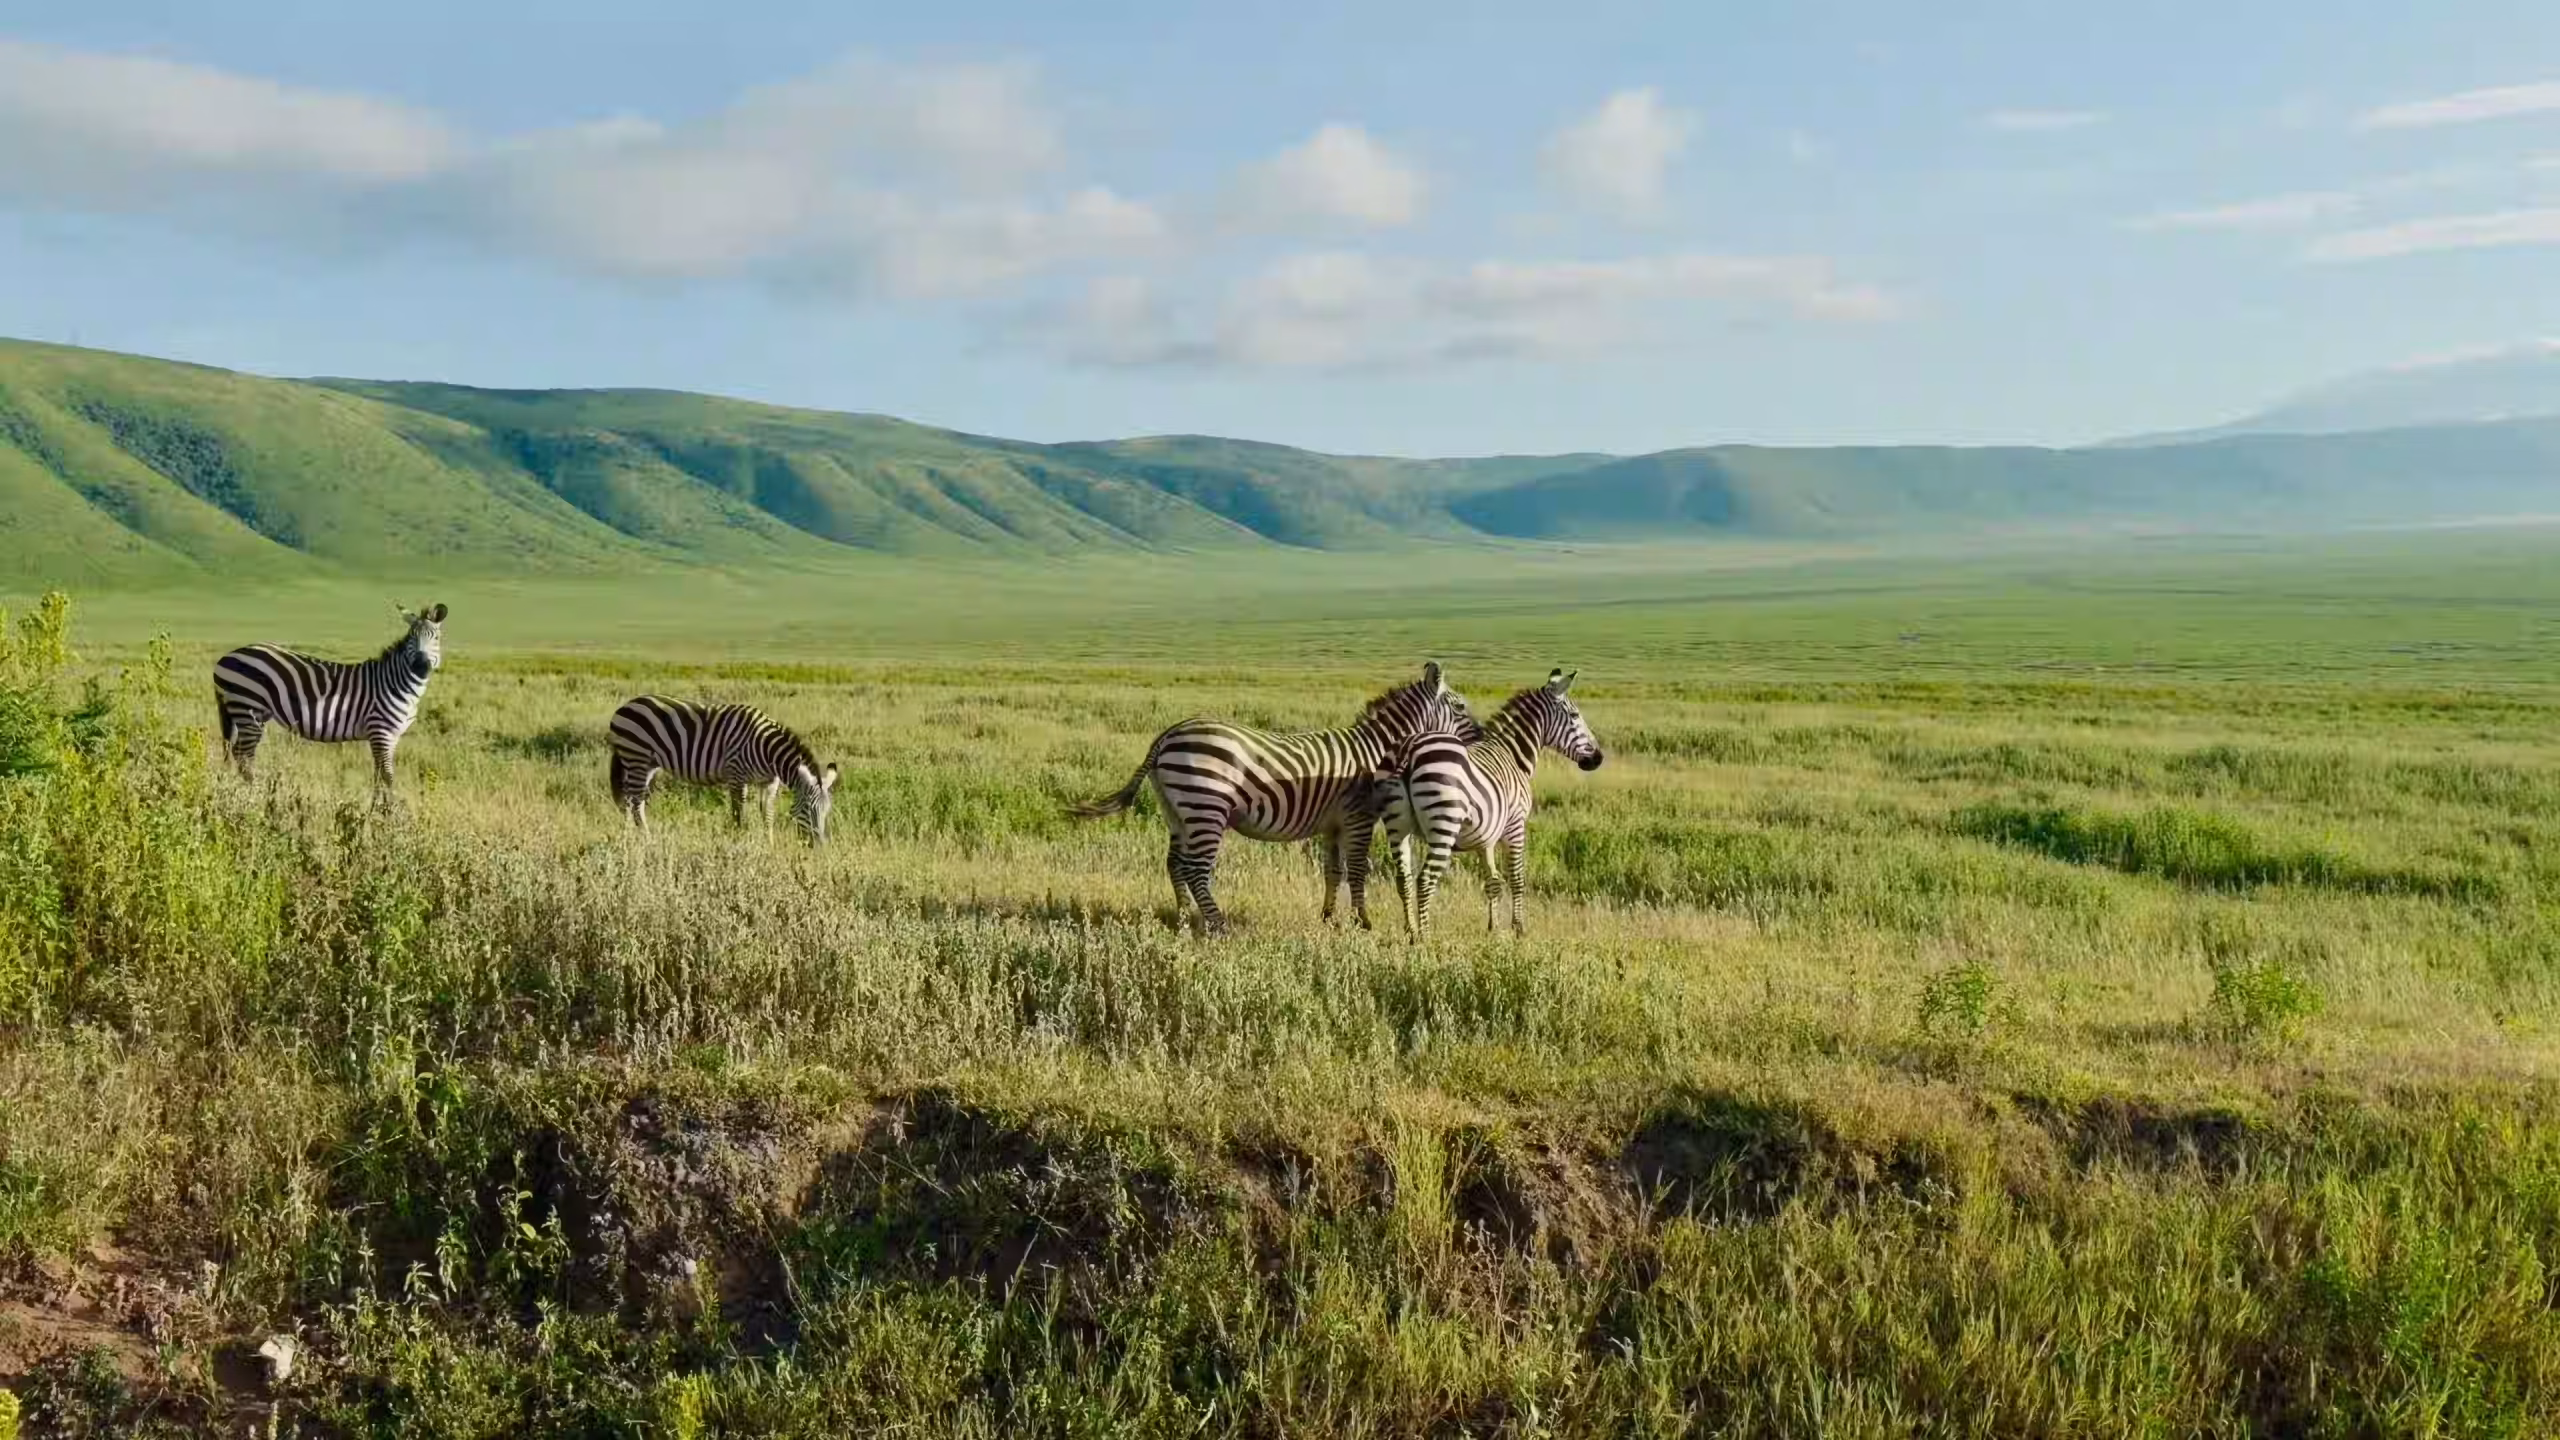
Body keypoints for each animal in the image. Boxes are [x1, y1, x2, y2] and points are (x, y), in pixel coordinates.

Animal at [214, 602, 448, 790]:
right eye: (411, 638)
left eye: (436, 638)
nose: (420, 666)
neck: (396, 683)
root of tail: (226, 657)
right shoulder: (380, 731)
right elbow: (387, 777)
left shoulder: (392, 736)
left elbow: (378, 777)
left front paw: (377, 810)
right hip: (247, 707)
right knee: (244, 757)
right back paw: (255, 796)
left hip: (251, 713)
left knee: (238, 754)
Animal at [607, 696, 840, 842]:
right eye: (807, 809)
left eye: (827, 811)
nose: (820, 846)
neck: (766, 748)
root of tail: (625, 706)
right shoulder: (737, 775)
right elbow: (738, 812)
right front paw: (739, 841)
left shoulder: (769, 783)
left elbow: (768, 816)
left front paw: (769, 844)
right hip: (636, 756)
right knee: (636, 802)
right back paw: (646, 838)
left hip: (645, 764)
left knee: (628, 800)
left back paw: (628, 836)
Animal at [1068, 662, 1479, 934]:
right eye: (1460, 707)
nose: (1481, 736)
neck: (1375, 751)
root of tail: (1167, 735)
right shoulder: (1358, 816)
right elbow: (1359, 871)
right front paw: (1363, 922)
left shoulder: (1333, 824)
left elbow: (1334, 871)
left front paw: (1328, 918)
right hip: (1206, 806)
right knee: (1197, 869)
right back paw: (1218, 925)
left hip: (1177, 811)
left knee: (1175, 865)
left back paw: (1184, 921)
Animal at [1346, 668, 1604, 938]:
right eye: (1574, 715)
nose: (1598, 758)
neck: (1512, 754)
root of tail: (1409, 749)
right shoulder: (1516, 825)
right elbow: (1516, 878)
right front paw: (1518, 928)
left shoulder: (1485, 836)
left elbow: (1492, 881)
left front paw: (1493, 928)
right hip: (1444, 824)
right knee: (1425, 879)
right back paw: (1425, 937)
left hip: (1398, 826)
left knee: (1403, 878)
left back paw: (1411, 931)